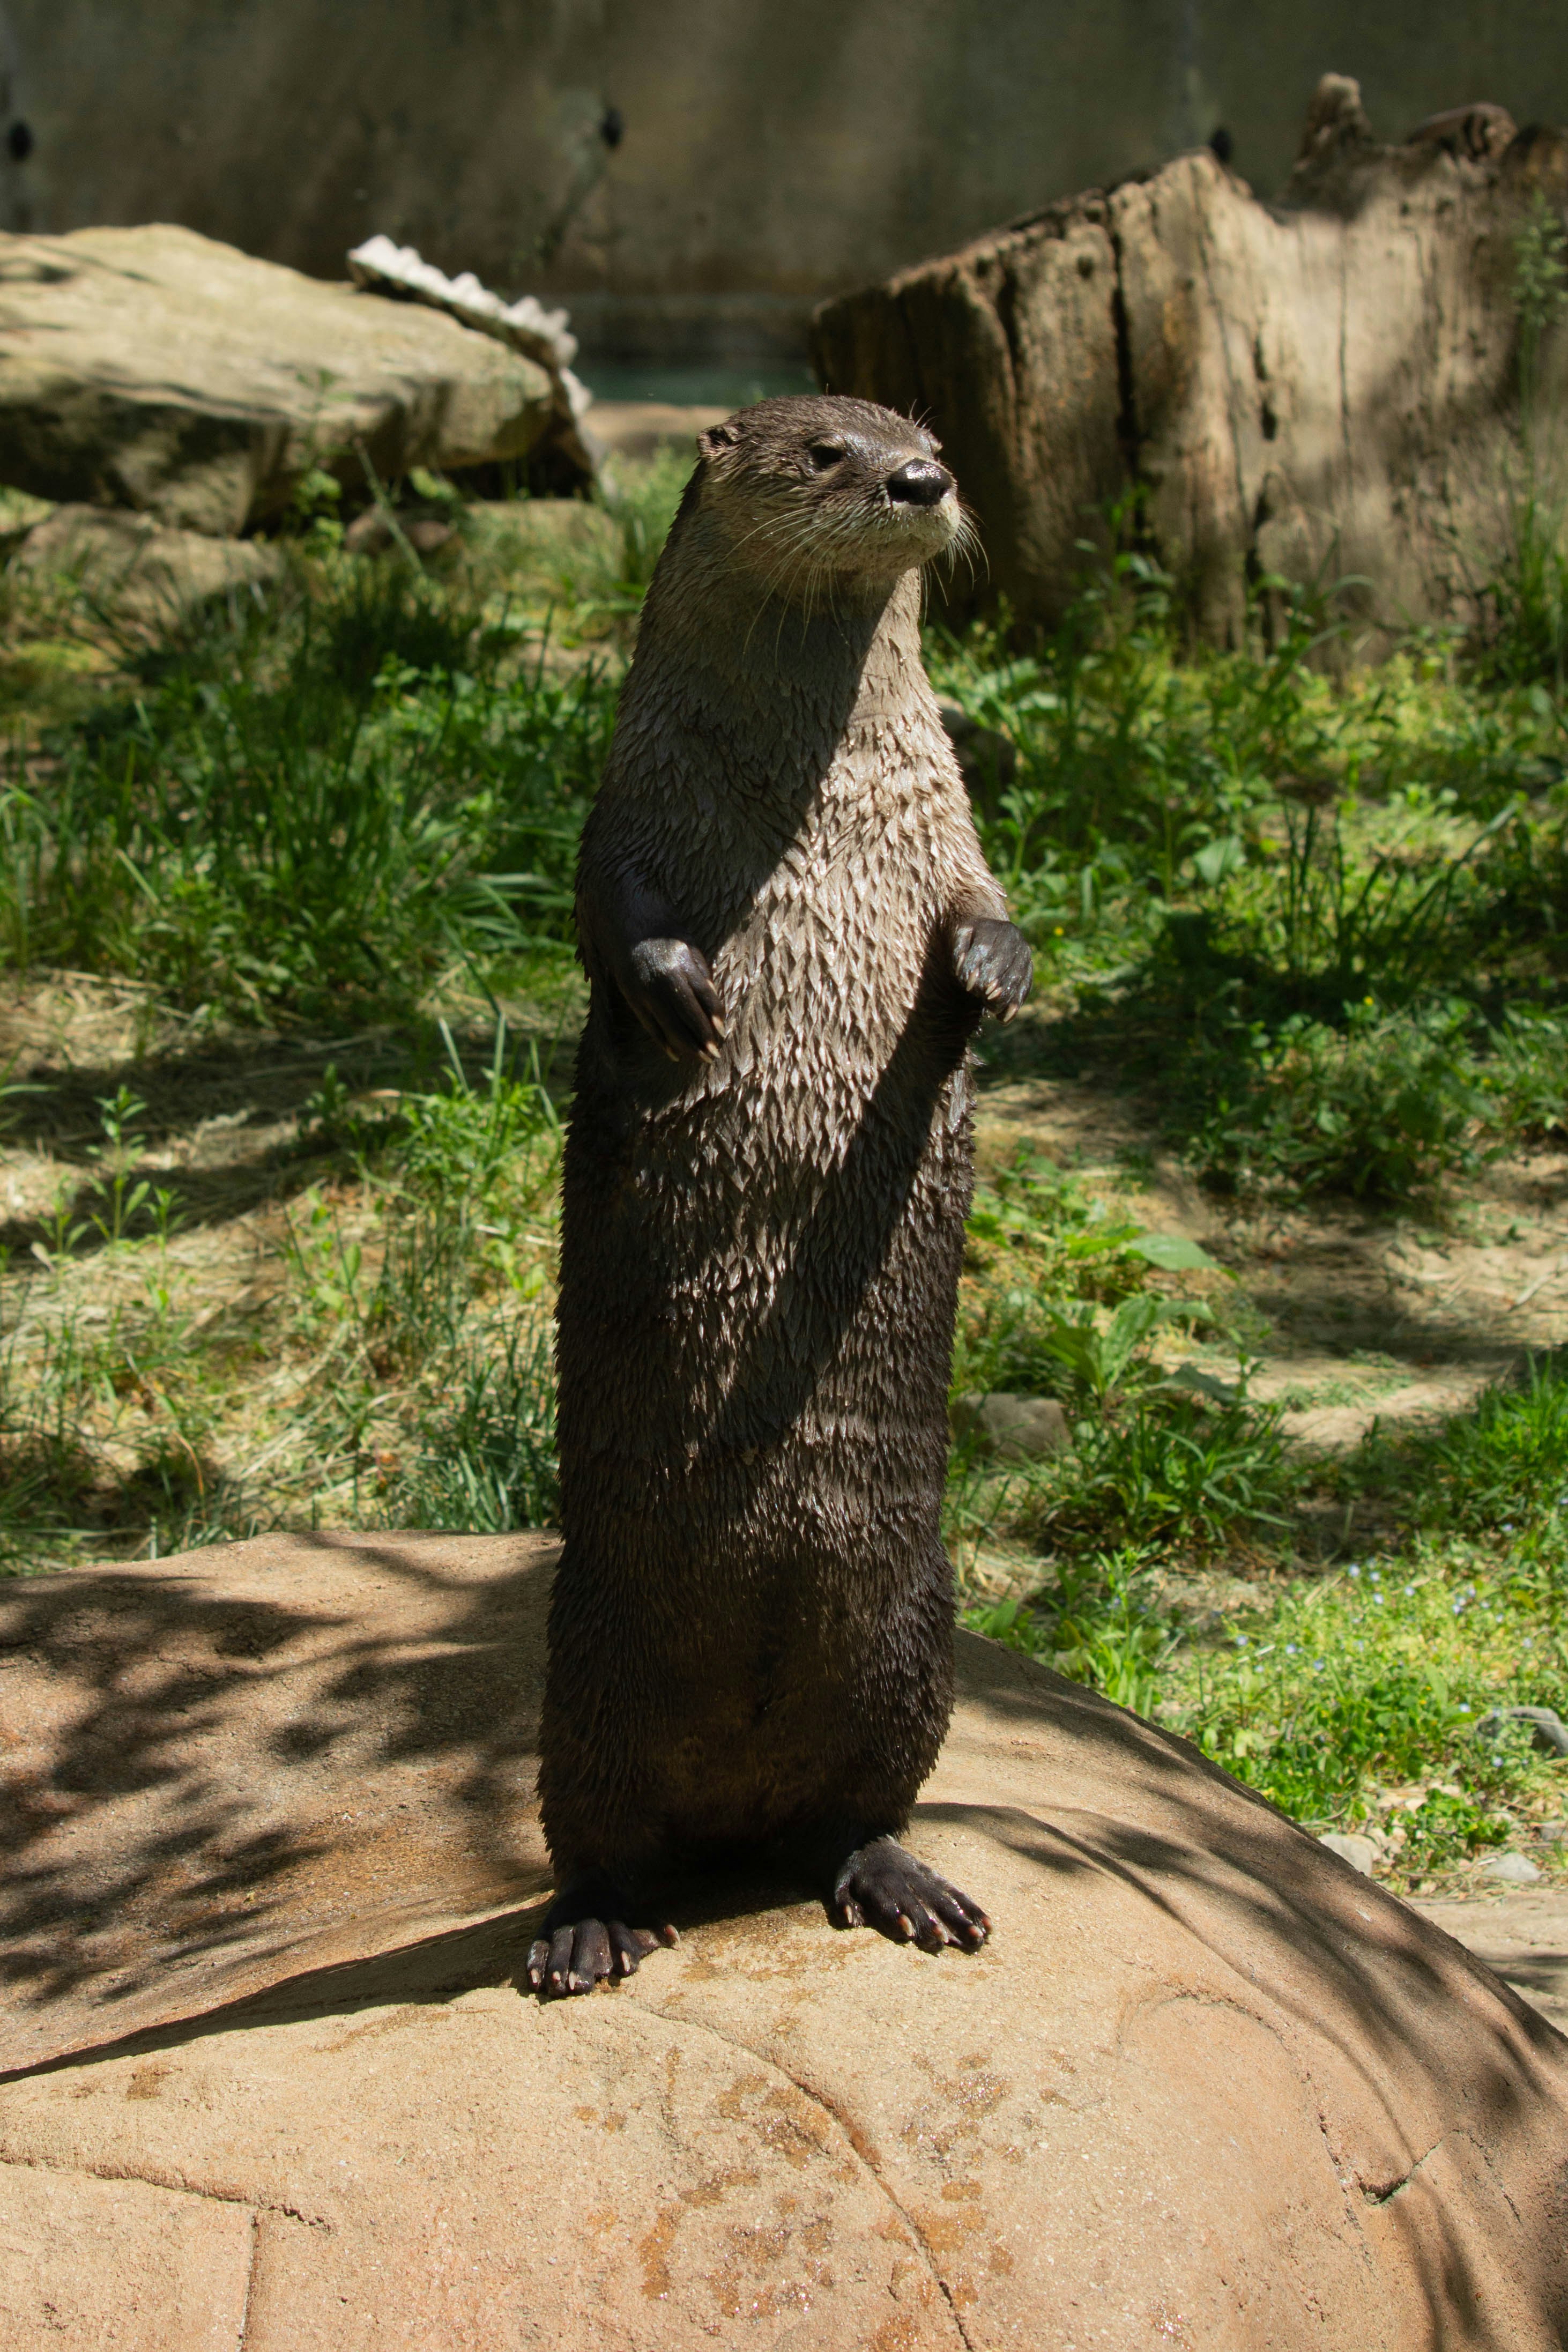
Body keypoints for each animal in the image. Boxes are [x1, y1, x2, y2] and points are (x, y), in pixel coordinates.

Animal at [528, 395, 1032, 1997]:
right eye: (822, 450)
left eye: (926, 434)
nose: (921, 479)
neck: (810, 809)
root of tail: (733, 1816)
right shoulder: (626, 801)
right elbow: (606, 909)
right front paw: (681, 989)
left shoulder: (949, 819)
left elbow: (987, 901)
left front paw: (991, 969)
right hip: (587, 1659)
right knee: (592, 1826)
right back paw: (590, 1926)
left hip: (917, 1628)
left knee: (857, 1803)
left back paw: (898, 1877)